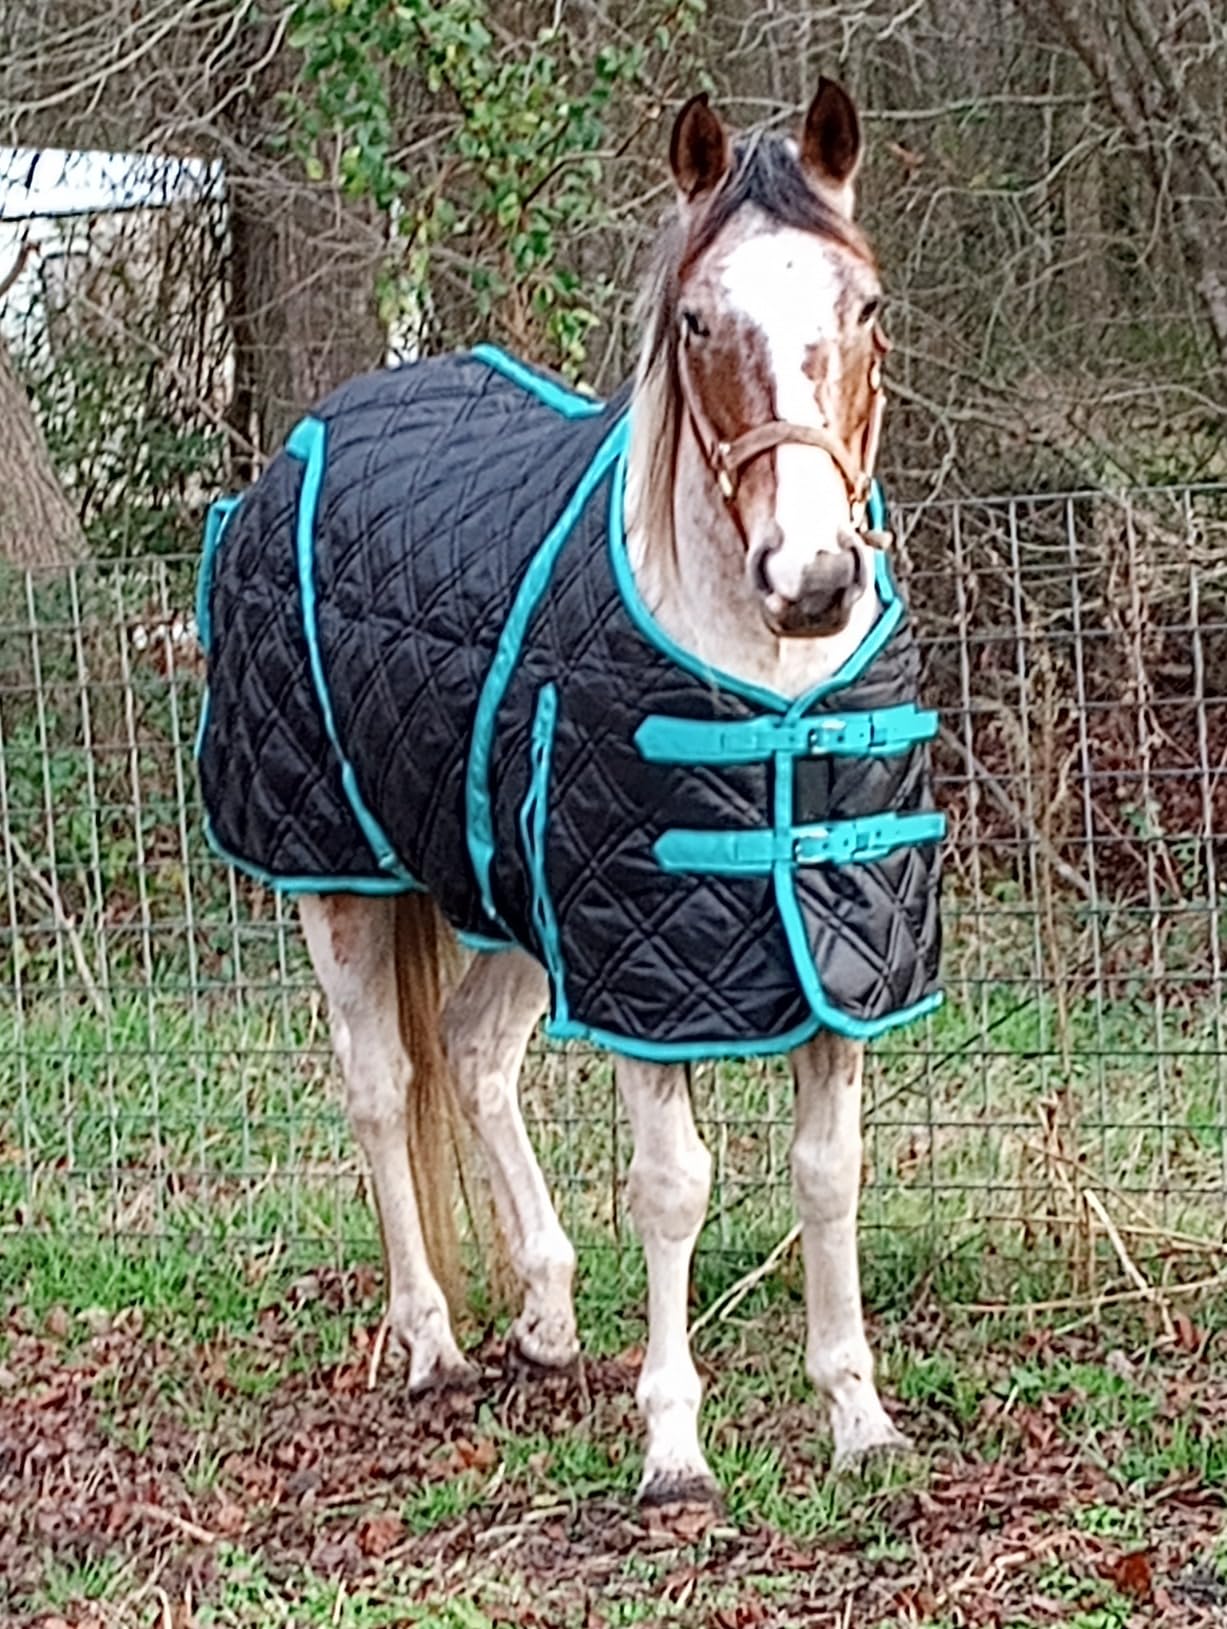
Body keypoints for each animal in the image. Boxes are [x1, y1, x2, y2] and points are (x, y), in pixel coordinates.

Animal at [196, 78, 943, 1508]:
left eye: (868, 306)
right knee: (381, 1083)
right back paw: (431, 1342)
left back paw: (544, 1313)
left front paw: (859, 1419)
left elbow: (829, 1179)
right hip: (338, 877)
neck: (770, 683)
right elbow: (676, 1188)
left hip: (518, 904)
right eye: (699, 319)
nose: (812, 578)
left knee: (475, 1054)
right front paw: (673, 1450)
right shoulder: (647, 982)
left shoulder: (833, 958)